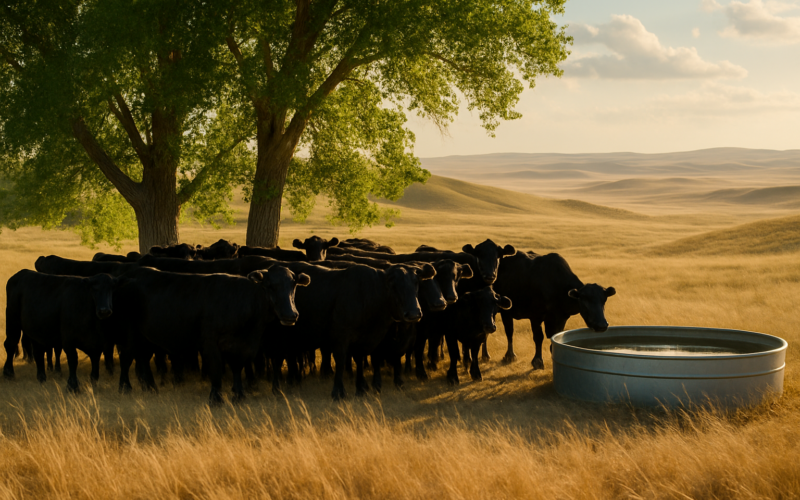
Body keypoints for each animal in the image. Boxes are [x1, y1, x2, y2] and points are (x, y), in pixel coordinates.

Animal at [109, 265, 309, 404]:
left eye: (293, 285)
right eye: (270, 286)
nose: (290, 314)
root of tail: (132, 271)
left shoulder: (243, 347)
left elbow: (238, 367)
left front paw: (239, 395)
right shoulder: (210, 343)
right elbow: (216, 368)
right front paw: (216, 398)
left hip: (146, 336)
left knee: (142, 357)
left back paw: (150, 388)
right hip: (127, 331)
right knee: (127, 357)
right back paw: (124, 388)